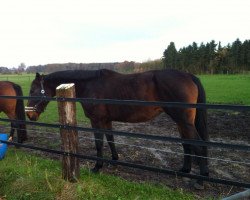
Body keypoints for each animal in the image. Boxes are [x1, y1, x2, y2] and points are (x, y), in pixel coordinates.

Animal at [25, 69, 209, 188]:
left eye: (33, 90)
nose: (30, 115)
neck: (89, 84)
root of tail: (189, 75)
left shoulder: (97, 120)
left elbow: (99, 143)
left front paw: (97, 167)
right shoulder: (107, 121)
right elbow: (110, 139)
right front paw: (114, 160)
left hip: (184, 121)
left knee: (198, 145)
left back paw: (201, 180)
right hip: (181, 121)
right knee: (187, 144)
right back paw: (185, 170)